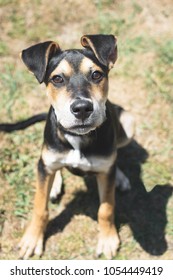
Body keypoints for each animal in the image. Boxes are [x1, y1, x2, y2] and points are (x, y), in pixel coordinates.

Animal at [18, 35, 134, 260]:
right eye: (57, 79)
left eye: (97, 75)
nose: (82, 109)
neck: (78, 138)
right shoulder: (46, 163)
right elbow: (40, 207)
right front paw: (32, 239)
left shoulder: (105, 173)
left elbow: (106, 209)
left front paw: (107, 239)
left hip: (128, 122)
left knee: (116, 158)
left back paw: (120, 177)